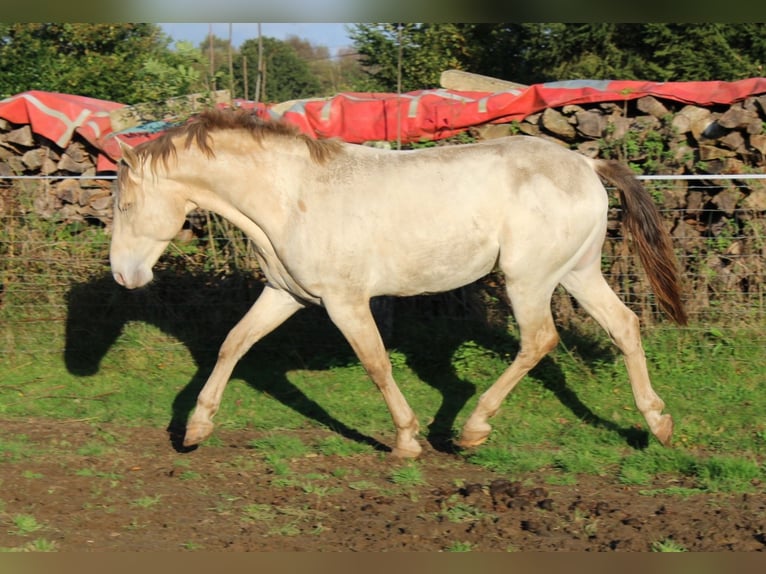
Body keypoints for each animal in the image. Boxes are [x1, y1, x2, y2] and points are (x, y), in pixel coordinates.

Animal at [109, 107, 688, 460]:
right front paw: (195, 429)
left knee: (540, 340)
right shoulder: (285, 295)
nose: (122, 275)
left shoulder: (344, 301)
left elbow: (376, 363)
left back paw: (473, 430)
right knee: (624, 326)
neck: (292, 197)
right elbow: (233, 344)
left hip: (529, 279)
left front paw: (407, 440)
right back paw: (657, 424)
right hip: (577, 272)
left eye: (126, 204)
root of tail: (586, 163)